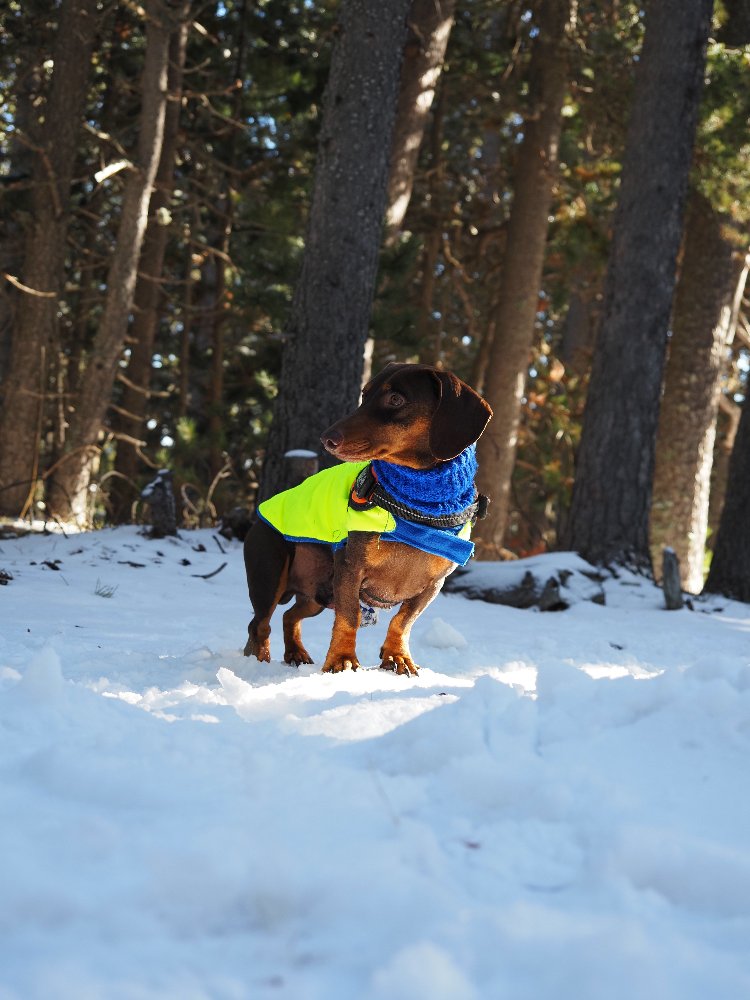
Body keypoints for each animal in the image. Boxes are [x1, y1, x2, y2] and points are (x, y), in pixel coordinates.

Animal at [244, 364, 496, 676]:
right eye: (364, 395)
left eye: (396, 399)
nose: (327, 438)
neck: (420, 508)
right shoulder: (350, 569)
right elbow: (349, 616)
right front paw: (341, 661)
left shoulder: (432, 586)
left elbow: (403, 621)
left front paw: (397, 657)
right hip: (270, 576)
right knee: (259, 625)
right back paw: (259, 661)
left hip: (317, 594)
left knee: (289, 616)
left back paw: (296, 653)